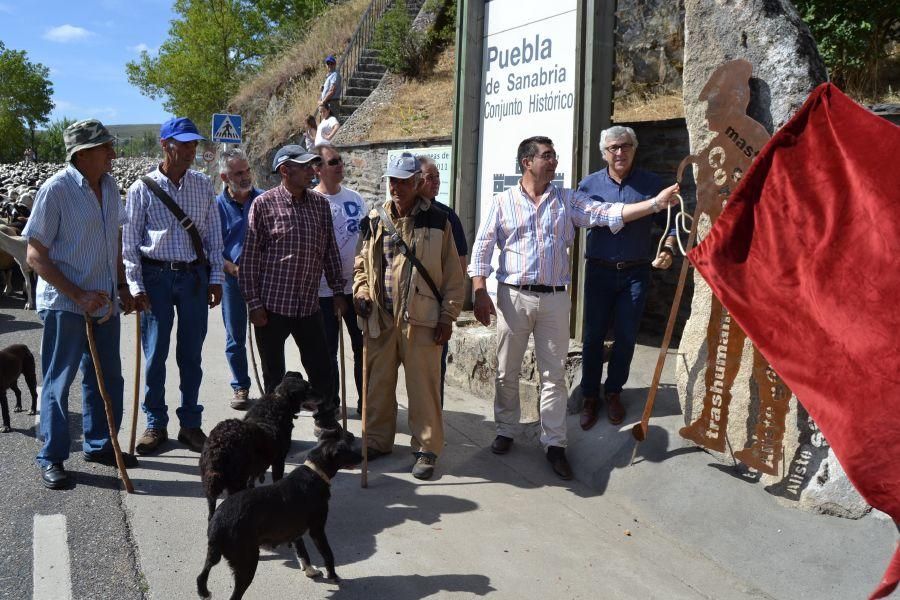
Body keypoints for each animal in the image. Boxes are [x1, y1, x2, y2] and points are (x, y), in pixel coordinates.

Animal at [197, 428, 362, 596]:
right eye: (347, 450)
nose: (362, 457)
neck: (315, 471)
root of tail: (216, 526)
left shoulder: (295, 530)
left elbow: (302, 552)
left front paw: (310, 571)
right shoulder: (317, 530)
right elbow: (328, 554)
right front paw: (333, 576)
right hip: (247, 562)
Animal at [200, 372, 320, 516]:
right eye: (308, 389)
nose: (323, 397)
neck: (279, 399)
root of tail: (219, 446)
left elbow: (252, 480)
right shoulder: (279, 460)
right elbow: (277, 480)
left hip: (209, 484)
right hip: (236, 481)